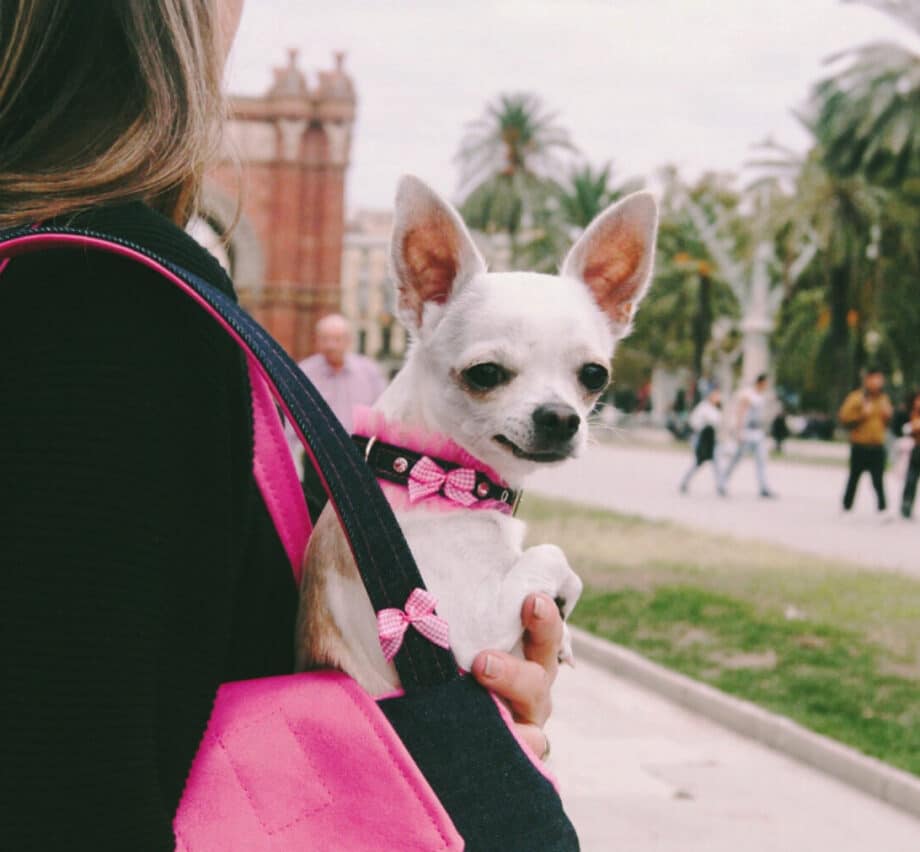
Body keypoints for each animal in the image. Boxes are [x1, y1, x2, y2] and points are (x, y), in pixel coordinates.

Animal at [294, 176, 656, 696]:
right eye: (485, 373)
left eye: (594, 374)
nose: (561, 417)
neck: (430, 471)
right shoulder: (466, 629)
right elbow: (551, 555)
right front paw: (562, 601)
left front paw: (563, 631)